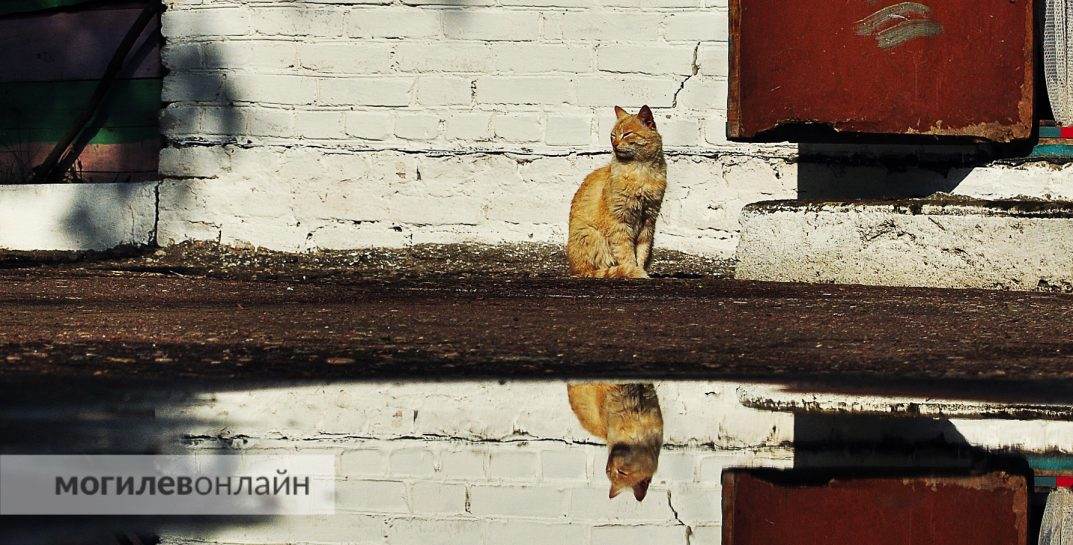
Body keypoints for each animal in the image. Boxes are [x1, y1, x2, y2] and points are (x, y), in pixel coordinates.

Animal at [566, 105, 665, 281]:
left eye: (627, 133)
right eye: (613, 135)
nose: (615, 143)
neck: (641, 173)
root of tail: (575, 270)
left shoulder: (648, 221)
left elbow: (642, 252)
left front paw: (640, 269)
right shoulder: (619, 222)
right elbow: (626, 252)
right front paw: (633, 271)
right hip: (591, 234)